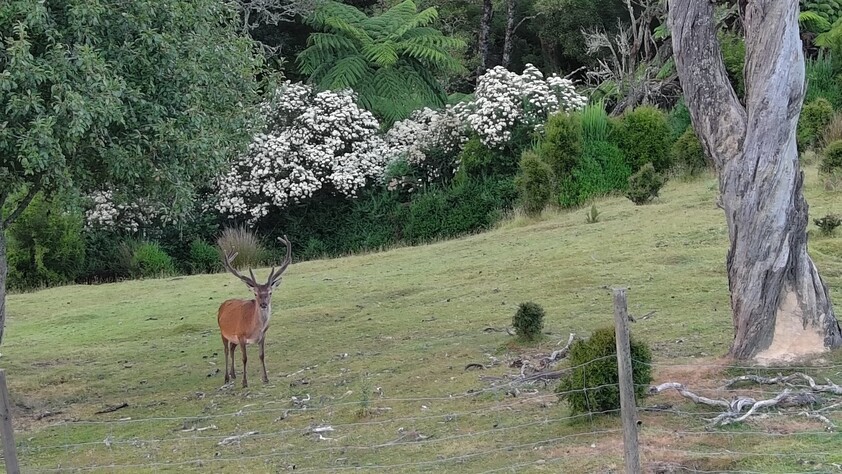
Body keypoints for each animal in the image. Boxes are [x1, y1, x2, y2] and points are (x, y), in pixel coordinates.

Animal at [217, 236, 292, 388]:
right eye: (256, 294)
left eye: (270, 292)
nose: (263, 304)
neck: (254, 328)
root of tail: (223, 304)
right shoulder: (241, 335)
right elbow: (244, 358)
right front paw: (245, 382)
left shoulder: (263, 336)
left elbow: (261, 355)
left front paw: (266, 378)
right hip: (223, 332)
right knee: (226, 351)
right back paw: (227, 377)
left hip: (233, 338)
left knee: (232, 349)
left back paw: (233, 374)